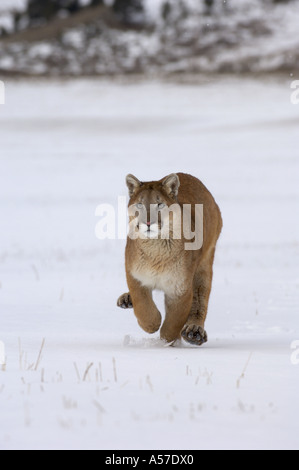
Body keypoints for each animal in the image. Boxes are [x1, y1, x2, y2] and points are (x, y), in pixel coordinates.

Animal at [117, 173, 223, 346]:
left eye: (159, 205)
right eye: (140, 205)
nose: (148, 222)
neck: (155, 251)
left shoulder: (180, 288)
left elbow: (174, 321)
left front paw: (167, 341)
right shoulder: (135, 276)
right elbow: (143, 305)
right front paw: (151, 324)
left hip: (204, 265)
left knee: (200, 300)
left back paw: (194, 332)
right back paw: (127, 299)